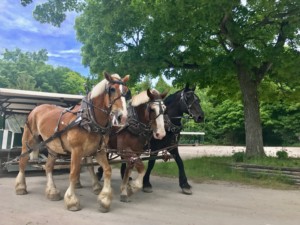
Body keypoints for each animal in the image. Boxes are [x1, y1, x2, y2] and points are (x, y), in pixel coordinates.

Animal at [14, 72, 130, 213]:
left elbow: (107, 170)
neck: (89, 118)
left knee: (48, 166)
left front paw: (105, 200)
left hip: (53, 146)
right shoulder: (76, 150)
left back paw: (52, 191)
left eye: (126, 91)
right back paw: (20, 187)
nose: (123, 117)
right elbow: (74, 173)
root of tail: (36, 108)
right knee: (23, 161)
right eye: (112, 89)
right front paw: (71, 201)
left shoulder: (99, 151)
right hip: (29, 140)